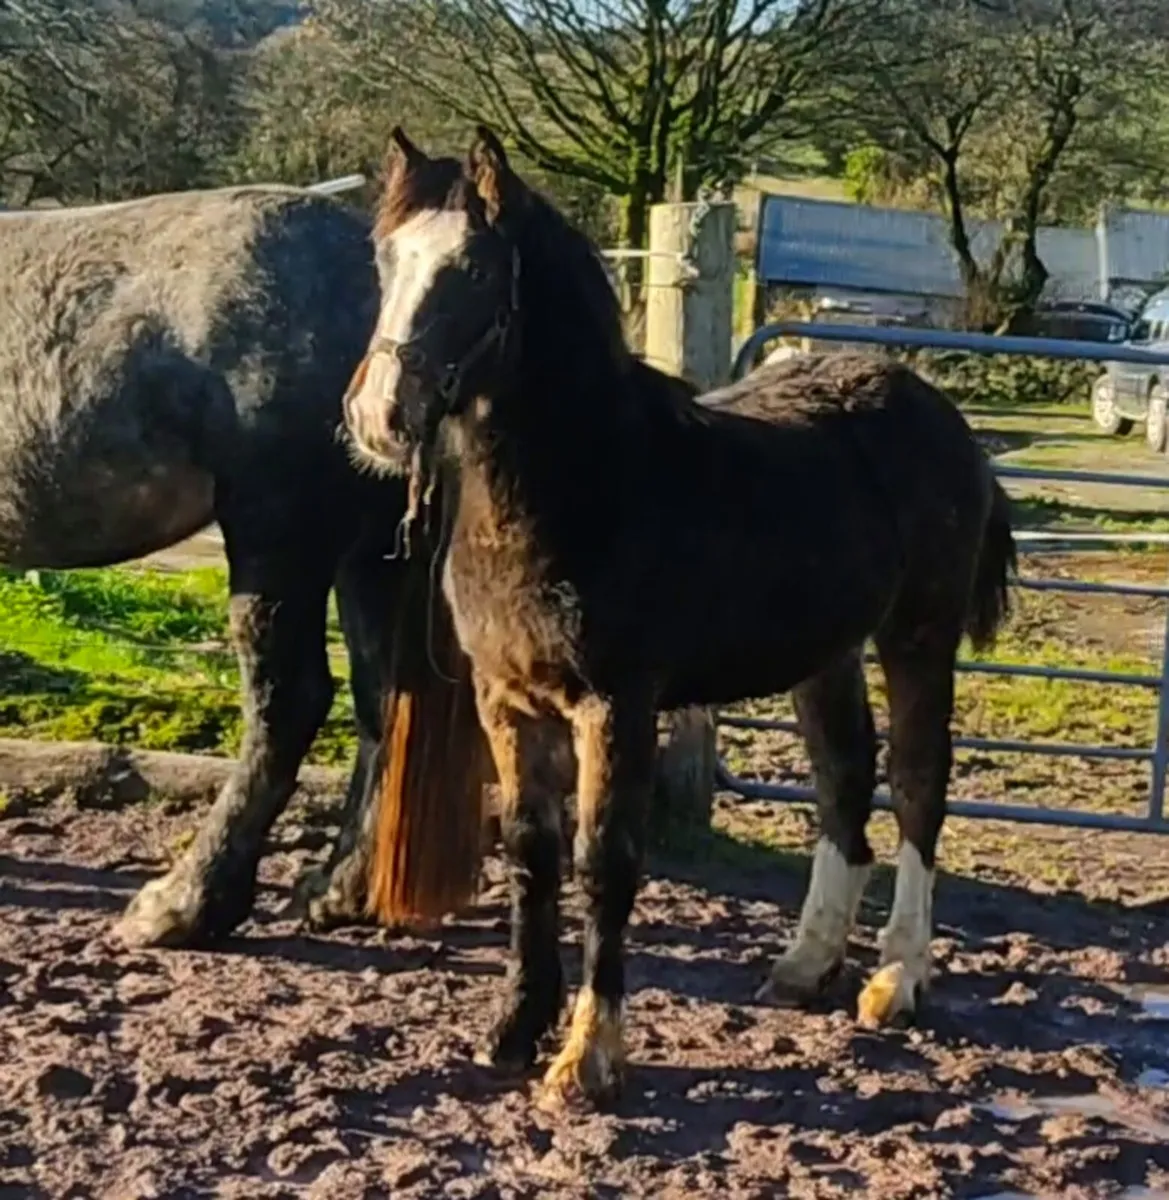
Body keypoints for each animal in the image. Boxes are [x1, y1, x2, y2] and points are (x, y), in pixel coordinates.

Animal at [0, 184, 487, 948]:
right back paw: (336, 891)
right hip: (370, 555)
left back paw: (187, 903)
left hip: (275, 538)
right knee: (385, 698)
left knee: (288, 704)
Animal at [344, 124, 1017, 1111]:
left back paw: (897, 979)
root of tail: (939, 411)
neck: (582, 484)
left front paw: (586, 1058)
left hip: (917, 639)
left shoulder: (615, 706)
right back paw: (804, 965)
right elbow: (530, 853)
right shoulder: (507, 701)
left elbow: (604, 863)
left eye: (472, 269)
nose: (377, 417)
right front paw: (513, 1030)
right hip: (826, 653)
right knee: (842, 781)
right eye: (385, 259)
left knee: (918, 784)